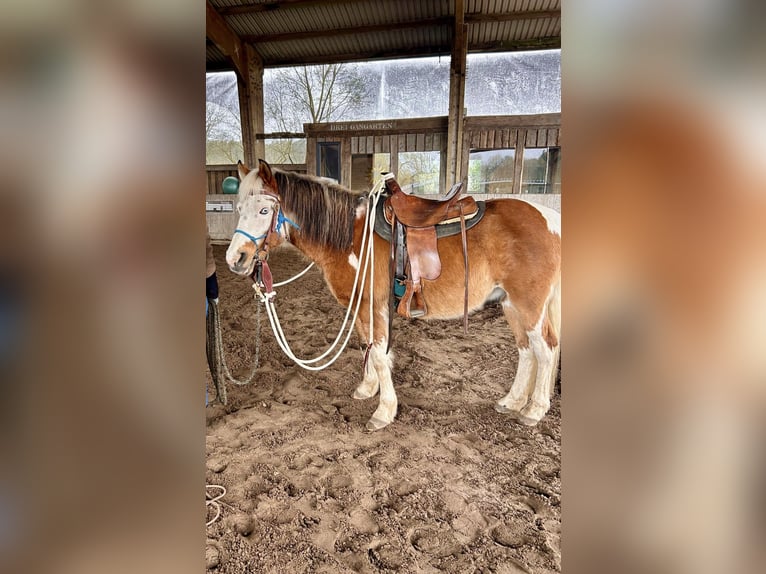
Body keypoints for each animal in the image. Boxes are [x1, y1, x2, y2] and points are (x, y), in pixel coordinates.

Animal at [226, 160, 561, 431]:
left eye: (264, 210)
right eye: (239, 210)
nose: (235, 259)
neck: (349, 236)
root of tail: (550, 219)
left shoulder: (373, 306)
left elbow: (377, 353)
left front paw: (384, 411)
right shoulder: (362, 307)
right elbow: (368, 347)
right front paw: (367, 389)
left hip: (528, 306)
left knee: (545, 350)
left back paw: (533, 410)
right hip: (510, 304)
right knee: (526, 351)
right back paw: (512, 401)